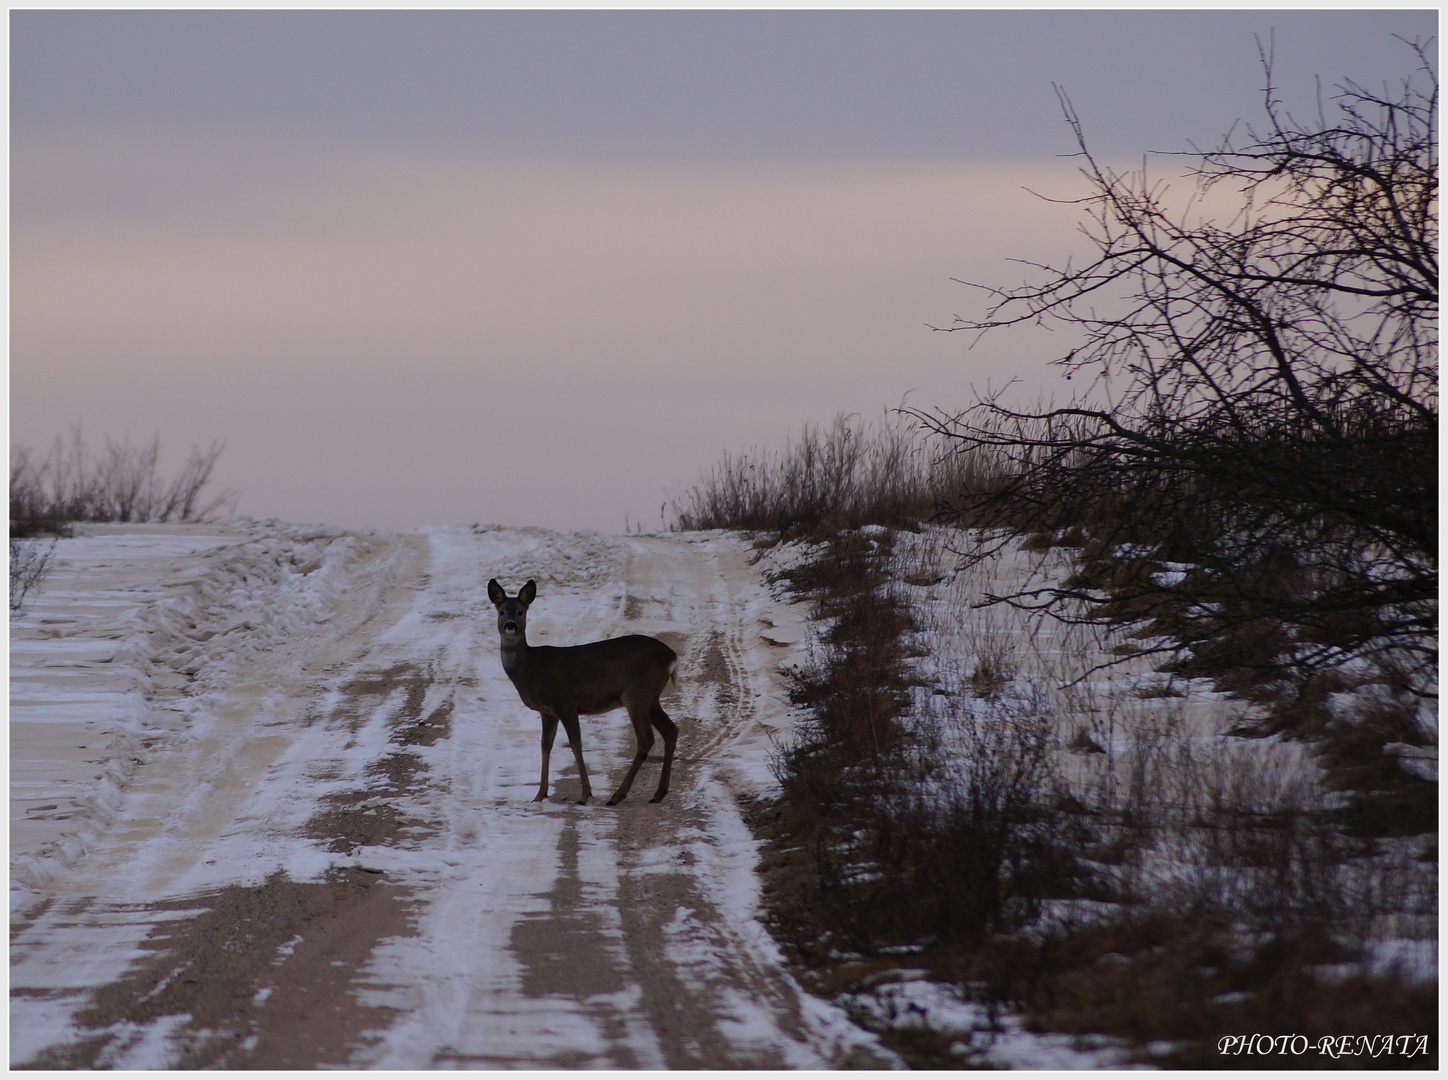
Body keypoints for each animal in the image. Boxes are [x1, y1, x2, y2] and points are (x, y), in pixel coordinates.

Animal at [486, 581, 677, 799]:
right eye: (501, 611)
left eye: (521, 611)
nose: (510, 625)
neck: (530, 668)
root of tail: (672, 657)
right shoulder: (547, 711)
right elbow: (545, 745)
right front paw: (540, 794)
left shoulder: (565, 701)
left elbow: (575, 743)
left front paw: (585, 794)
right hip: (651, 697)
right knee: (671, 730)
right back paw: (658, 793)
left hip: (636, 694)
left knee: (646, 739)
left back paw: (617, 796)